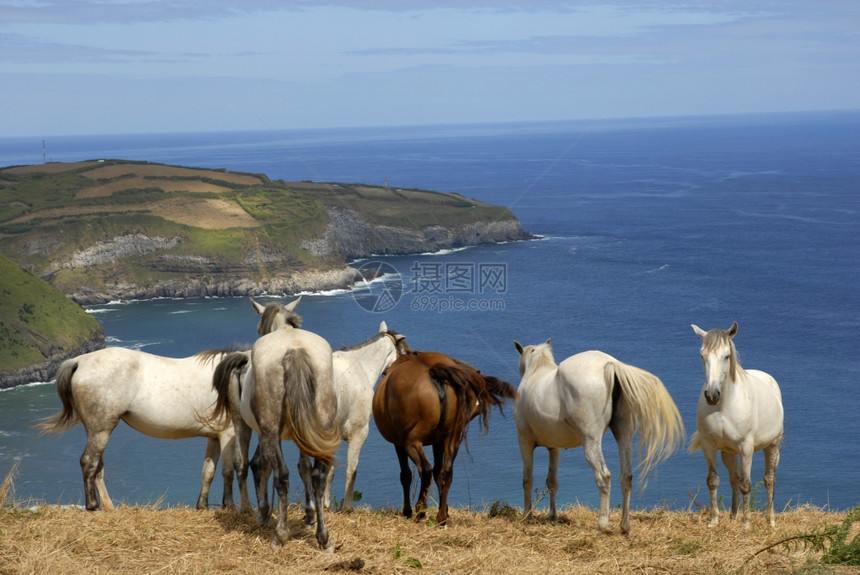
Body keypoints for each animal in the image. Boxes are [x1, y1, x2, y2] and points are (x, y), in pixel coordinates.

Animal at [37, 296, 302, 512]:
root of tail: (79, 361)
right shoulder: (229, 433)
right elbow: (231, 469)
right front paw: (234, 506)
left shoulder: (213, 436)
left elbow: (208, 470)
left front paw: (203, 505)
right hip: (101, 428)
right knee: (89, 462)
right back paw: (92, 505)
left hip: (95, 428)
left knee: (97, 465)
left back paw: (109, 506)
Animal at [372, 352, 516, 528]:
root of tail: (433, 371)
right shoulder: (438, 441)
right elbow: (438, 471)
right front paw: (445, 509)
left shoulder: (398, 443)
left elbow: (406, 475)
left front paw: (407, 511)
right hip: (451, 438)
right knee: (446, 472)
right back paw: (441, 517)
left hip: (411, 442)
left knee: (425, 470)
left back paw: (420, 511)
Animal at [510, 340, 684, 532]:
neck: (536, 372)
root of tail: (610, 365)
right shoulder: (554, 447)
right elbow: (552, 482)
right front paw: (552, 517)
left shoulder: (524, 440)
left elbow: (527, 480)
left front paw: (526, 516)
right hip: (624, 435)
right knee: (626, 475)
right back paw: (625, 525)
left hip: (591, 441)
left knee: (603, 475)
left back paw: (603, 524)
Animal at [688, 322, 784, 528]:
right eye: (702, 355)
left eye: (726, 356)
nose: (712, 395)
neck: (724, 406)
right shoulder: (709, 446)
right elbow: (713, 481)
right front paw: (714, 520)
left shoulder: (746, 447)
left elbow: (746, 484)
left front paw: (746, 523)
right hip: (728, 452)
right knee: (734, 478)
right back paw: (733, 515)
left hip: (772, 446)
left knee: (769, 479)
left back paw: (770, 519)